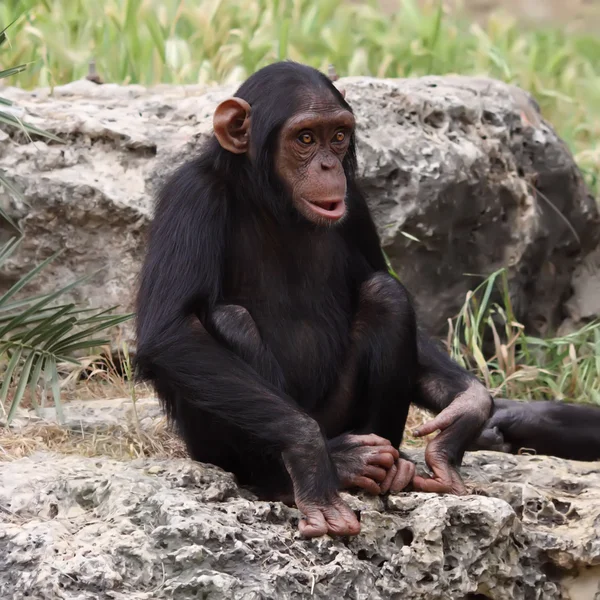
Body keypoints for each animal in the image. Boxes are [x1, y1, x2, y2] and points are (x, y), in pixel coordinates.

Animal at [135, 61, 492, 540]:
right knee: (228, 318)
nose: (327, 163)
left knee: (387, 295)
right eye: (304, 138)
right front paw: (309, 457)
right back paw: (314, 469)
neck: (271, 201)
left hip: (340, 416)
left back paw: (385, 467)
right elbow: (171, 331)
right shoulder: (190, 197)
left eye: (337, 135)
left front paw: (467, 411)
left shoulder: (356, 203)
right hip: (213, 448)